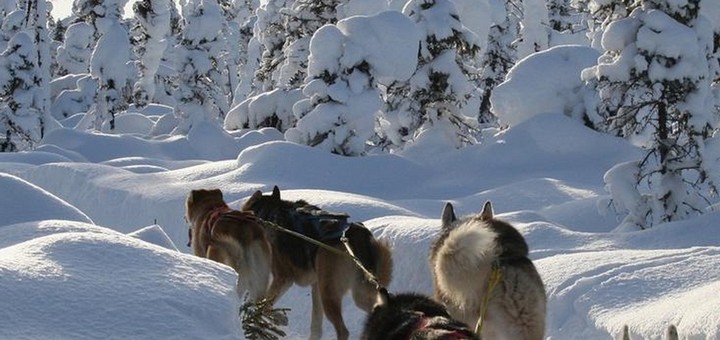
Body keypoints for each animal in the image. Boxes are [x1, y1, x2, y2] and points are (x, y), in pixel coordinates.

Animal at [242, 186, 390, 340]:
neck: (269, 213)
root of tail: (355, 235)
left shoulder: (282, 278)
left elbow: (263, 306)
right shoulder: (315, 285)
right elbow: (316, 326)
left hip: (330, 294)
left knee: (343, 330)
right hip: (358, 293)